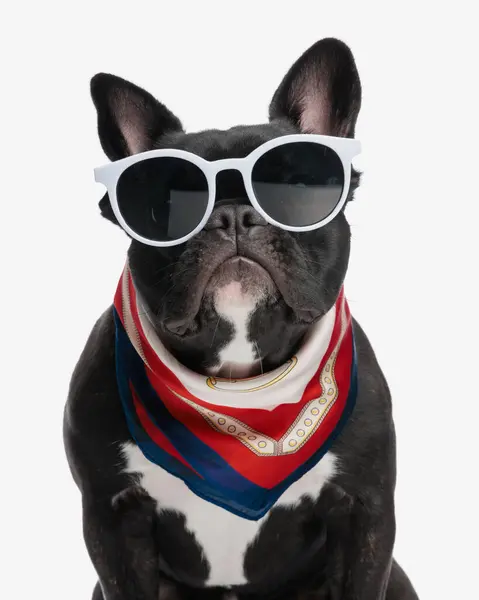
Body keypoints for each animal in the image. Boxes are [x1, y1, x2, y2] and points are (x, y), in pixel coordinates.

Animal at [64, 38, 420, 600]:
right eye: (166, 204)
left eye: (294, 188)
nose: (232, 213)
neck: (239, 389)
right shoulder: (112, 520)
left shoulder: (365, 512)